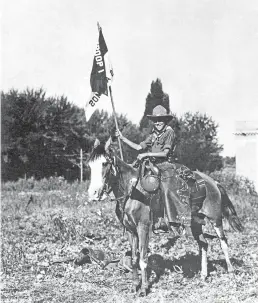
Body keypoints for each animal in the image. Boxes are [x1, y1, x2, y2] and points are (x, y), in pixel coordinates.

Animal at [88, 140, 244, 296]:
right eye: (89, 165)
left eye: (104, 163)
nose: (93, 193)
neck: (133, 191)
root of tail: (213, 182)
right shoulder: (130, 230)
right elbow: (134, 259)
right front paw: (134, 286)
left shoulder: (143, 227)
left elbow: (143, 259)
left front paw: (144, 289)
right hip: (195, 222)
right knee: (204, 244)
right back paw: (203, 275)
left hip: (215, 218)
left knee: (223, 242)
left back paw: (231, 272)